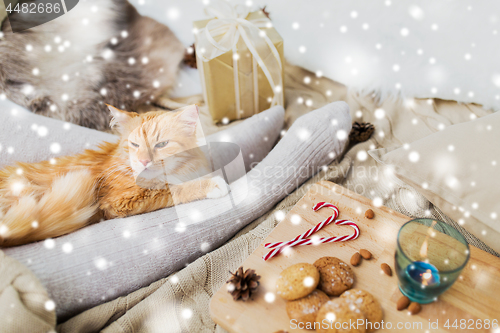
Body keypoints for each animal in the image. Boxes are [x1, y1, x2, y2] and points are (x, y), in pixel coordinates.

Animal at [0, 105, 229, 245]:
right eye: (134, 144)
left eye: (161, 144)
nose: (143, 161)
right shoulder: (119, 202)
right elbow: (172, 190)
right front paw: (212, 185)